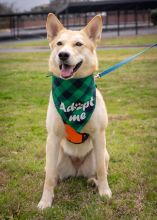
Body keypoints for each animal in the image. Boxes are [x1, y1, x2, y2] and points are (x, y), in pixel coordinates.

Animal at [37, 12, 111, 210]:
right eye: (59, 44)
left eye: (78, 44)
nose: (63, 55)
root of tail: (77, 170)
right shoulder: (53, 138)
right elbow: (48, 179)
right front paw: (45, 201)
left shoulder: (99, 135)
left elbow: (101, 170)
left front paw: (104, 191)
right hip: (54, 157)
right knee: (53, 174)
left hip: (103, 153)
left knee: (99, 169)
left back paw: (93, 182)